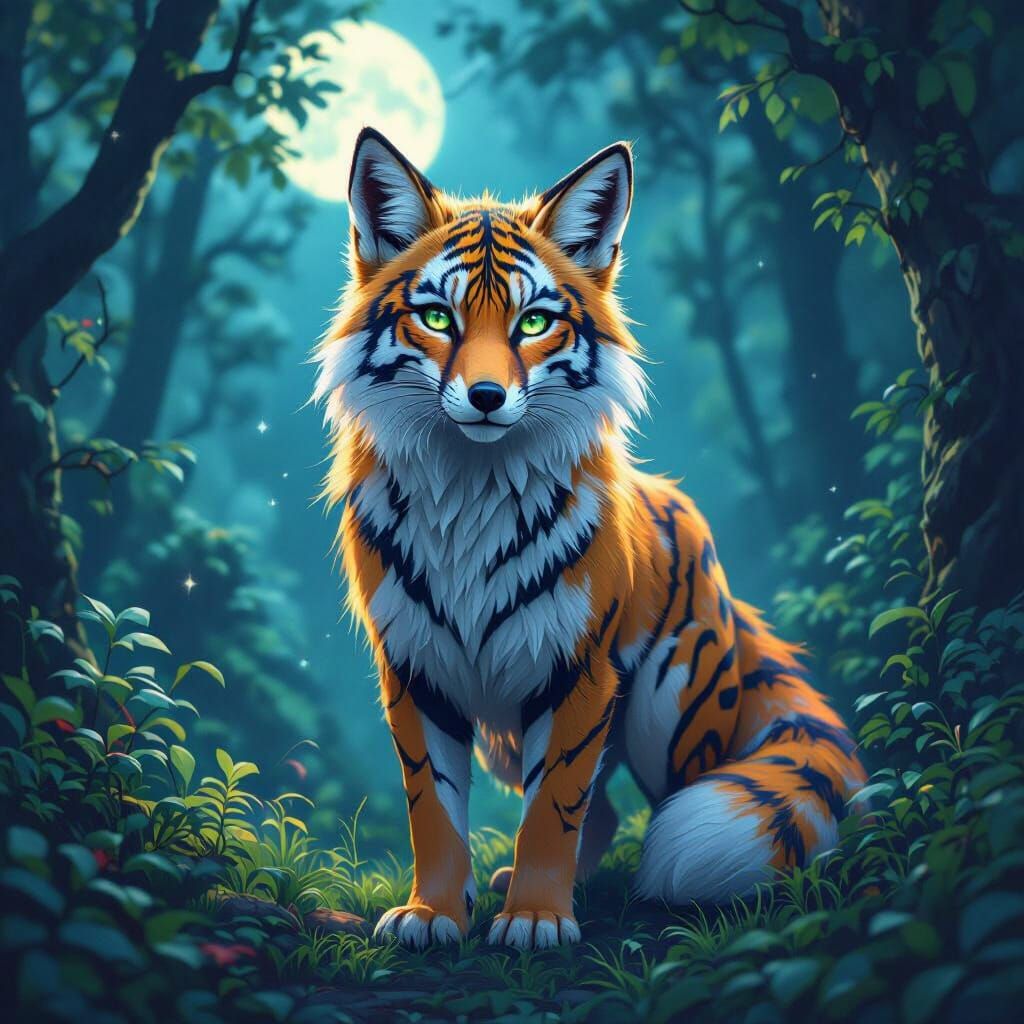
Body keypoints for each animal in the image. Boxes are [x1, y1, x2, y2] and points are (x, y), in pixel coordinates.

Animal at [313, 127, 866, 951]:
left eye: (533, 323)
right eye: (438, 319)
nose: (486, 397)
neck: (471, 490)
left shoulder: (578, 669)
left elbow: (555, 806)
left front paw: (538, 919)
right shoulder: (414, 669)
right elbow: (432, 808)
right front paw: (433, 914)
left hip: (670, 711)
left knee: (651, 798)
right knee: (601, 806)